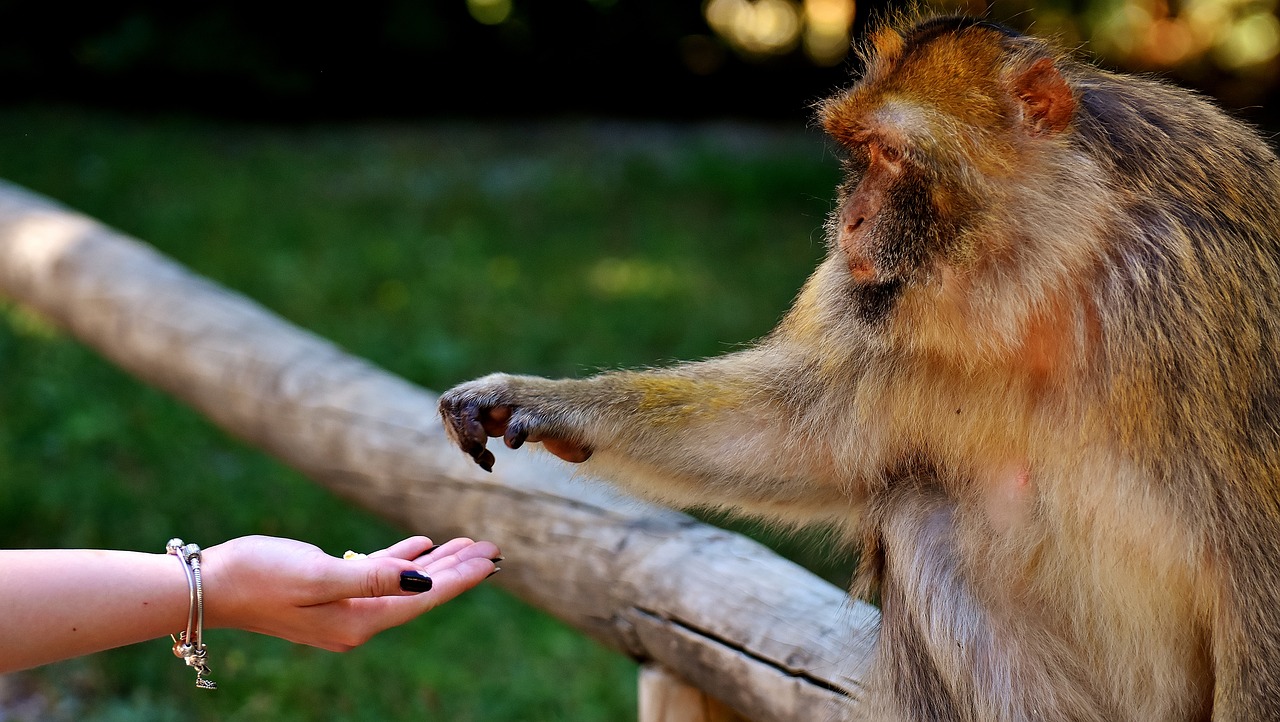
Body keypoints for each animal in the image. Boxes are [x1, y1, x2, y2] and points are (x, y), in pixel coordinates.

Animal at [435, 12, 1280, 722]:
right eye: (858, 155)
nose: (849, 220)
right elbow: (805, 435)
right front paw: (544, 401)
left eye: (891, 155)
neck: (1051, 273)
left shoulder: (1195, 290)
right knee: (920, 516)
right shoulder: (880, 319)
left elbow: (1258, 571)